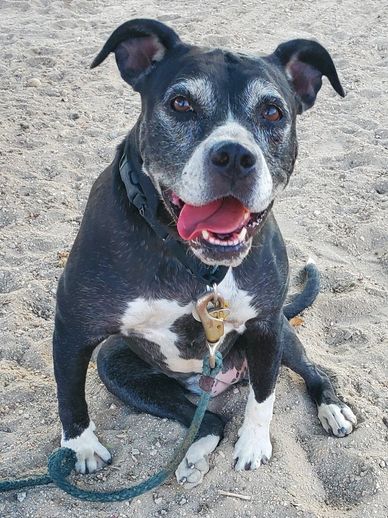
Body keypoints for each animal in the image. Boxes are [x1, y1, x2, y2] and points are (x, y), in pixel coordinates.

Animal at [53, 18, 356, 490]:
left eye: (273, 112)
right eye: (181, 104)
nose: (234, 155)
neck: (197, 263)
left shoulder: (266, 328)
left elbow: (263, 397)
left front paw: (254, 446)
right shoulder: (71, 325)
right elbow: (69, 396)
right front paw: (81, 449)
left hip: (284, 336)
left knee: (311, 373)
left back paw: (332, 407)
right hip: (115, 362)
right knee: (209, 421)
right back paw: (194, 455)